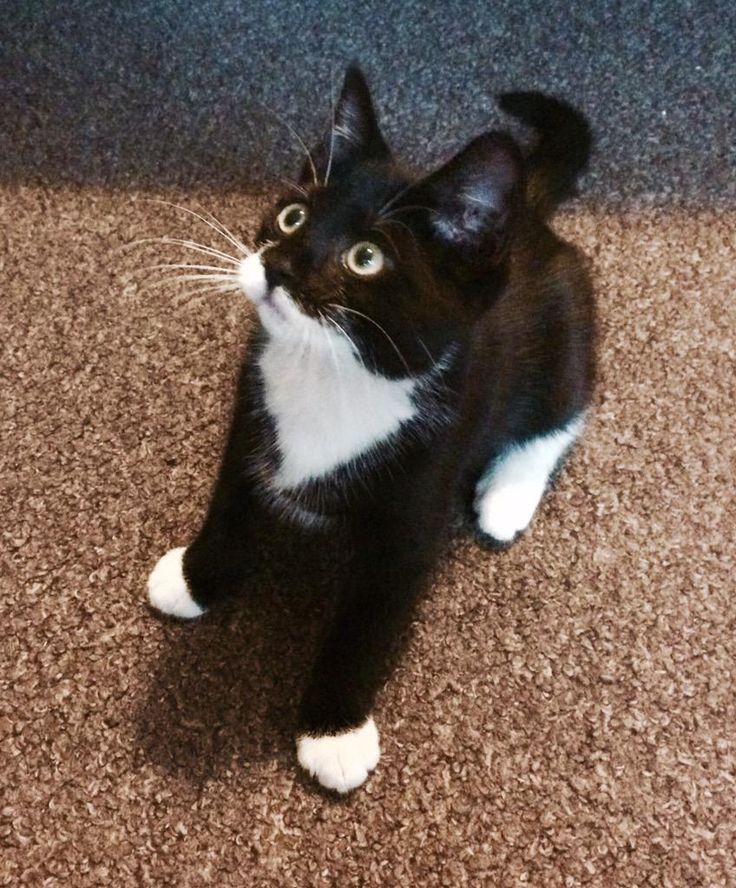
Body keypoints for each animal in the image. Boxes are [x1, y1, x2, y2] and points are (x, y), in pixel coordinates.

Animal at [147, 66, 596, 796]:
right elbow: (231, 501)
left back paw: (507, 495)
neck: (332, 375)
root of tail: (526, 217)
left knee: (564, 406)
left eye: (366, 259)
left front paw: (334, 733)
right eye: (293, 216)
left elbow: (366, 622)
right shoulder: (253, 409)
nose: (280, 267)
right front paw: (194, 576)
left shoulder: (421, 493)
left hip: (566, 328)